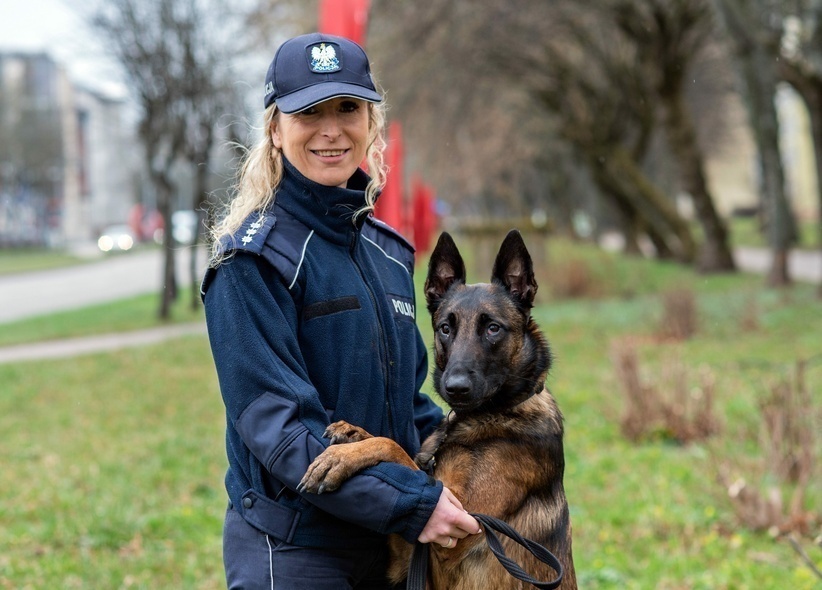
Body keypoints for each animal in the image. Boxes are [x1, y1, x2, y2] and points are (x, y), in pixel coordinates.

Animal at [300, 231, 576, 590]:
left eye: (493, 328)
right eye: (446, 328)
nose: (455, 387)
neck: (492, 414)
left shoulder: (456, 526)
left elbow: (393, 447)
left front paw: (340, 458)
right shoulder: (413, 550)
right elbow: (398, 451)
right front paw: (353, 433)